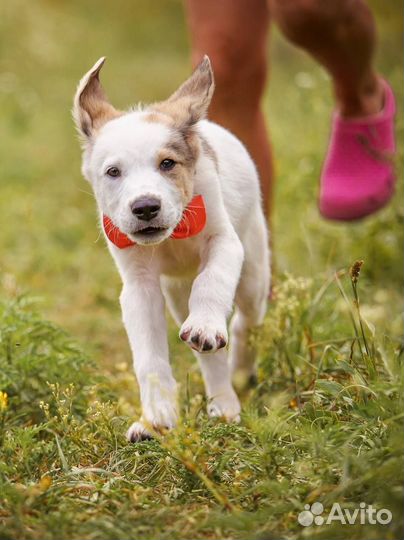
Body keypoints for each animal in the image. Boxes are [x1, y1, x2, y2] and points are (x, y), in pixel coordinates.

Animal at [75, 57, 272, 440]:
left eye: (167, 163)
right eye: (113, 172)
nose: (145, 207)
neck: (173, 237)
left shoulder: (224, 242)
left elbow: (212, 281)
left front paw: (207, 325)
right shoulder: (139, 286)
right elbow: (149, 357)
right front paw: (156, 418)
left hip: (253, 271)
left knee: (246, 323)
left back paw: (239, 375)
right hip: (178, 295)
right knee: (210, 358)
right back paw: (223, 403)